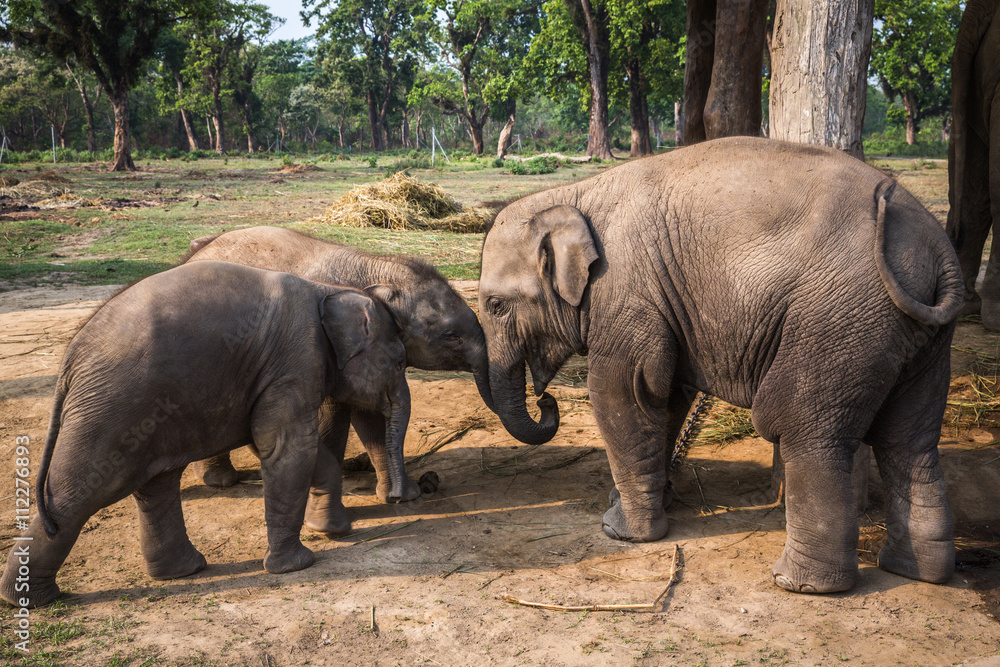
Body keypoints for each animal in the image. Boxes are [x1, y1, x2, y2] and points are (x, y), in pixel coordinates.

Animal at [0, 261, 408, 608]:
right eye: (401, 362)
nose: (397, 499)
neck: (330, 291)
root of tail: (70, 359)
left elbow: (284, 446)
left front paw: (335, 530)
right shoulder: (295, 362)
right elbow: (287, 447)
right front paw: (298, 564)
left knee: (155, 484)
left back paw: (183, 571)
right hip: (112, 407)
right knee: (80, 493)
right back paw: (31, 600)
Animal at [184, 226, 493, 533]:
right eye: (450, 335)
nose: (398, 496)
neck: (376, 267)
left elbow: (369, 412)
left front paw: (404, 496)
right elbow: (334, 415)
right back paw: (220, 480)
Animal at [479, 137, 963, 594]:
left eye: (496, 305)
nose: (545, 399)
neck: (574, 193)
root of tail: (935, 248)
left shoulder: (626, 291)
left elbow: (626, 390)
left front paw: (621, 531)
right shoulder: (663, 304)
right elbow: (668, 395)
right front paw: (649, 501)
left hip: (838, 321)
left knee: (803, 427)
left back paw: (800, 584)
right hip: (917, 337)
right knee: (911, 440)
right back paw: (915, 572)